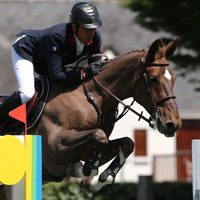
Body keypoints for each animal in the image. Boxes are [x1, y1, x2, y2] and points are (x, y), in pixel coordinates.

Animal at [0, 38, 182, 197]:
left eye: (173, 79)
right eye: (153, 79)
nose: (173, 124)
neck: (91, 98)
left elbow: (126, 142)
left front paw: (101, 178)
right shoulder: (53, 150)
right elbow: (99, 136)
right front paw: (87, 171)